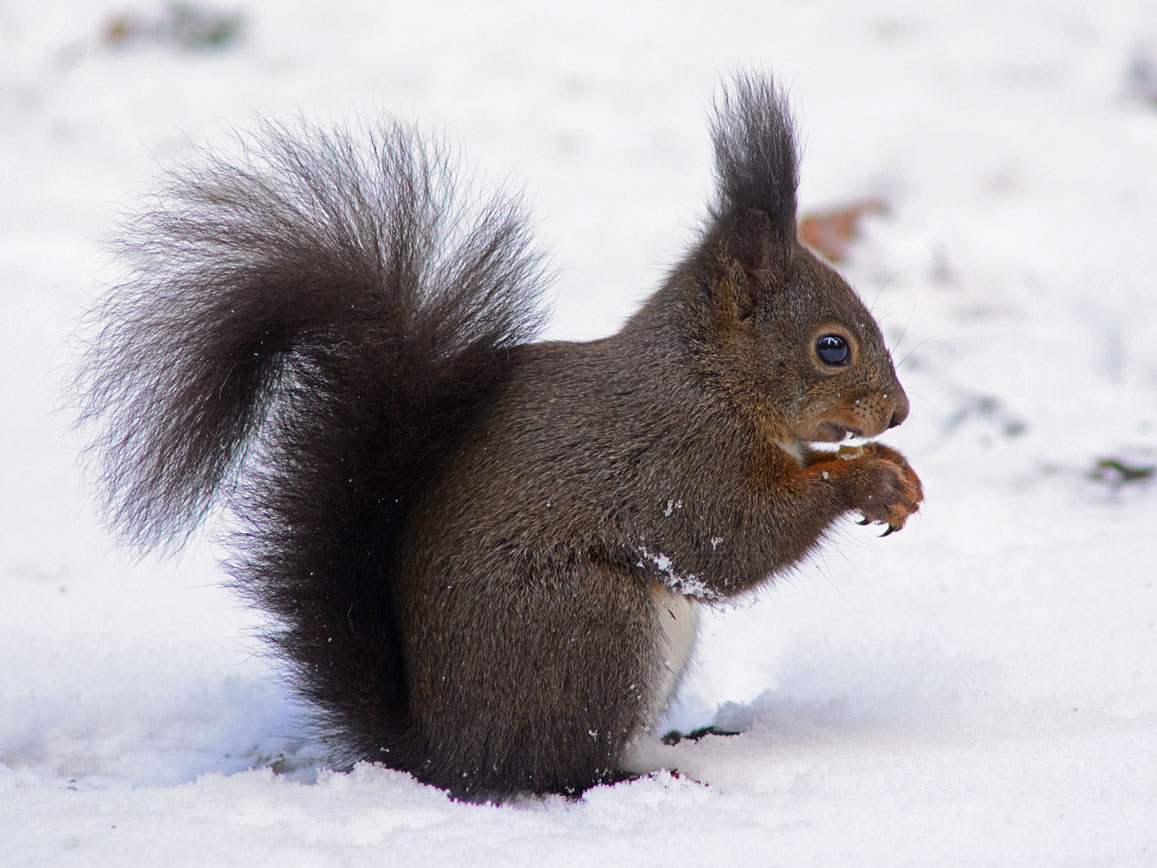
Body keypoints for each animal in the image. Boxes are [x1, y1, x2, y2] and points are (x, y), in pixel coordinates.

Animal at [76, 73, 920, 800]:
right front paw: (865, 479)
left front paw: (895, 475)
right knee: (557, 771)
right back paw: (642, 774)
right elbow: (730, 542)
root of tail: (443, 753)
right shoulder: (673, 462)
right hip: (592, 624)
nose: (899, 414)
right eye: (832, 347)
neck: (708, 380)